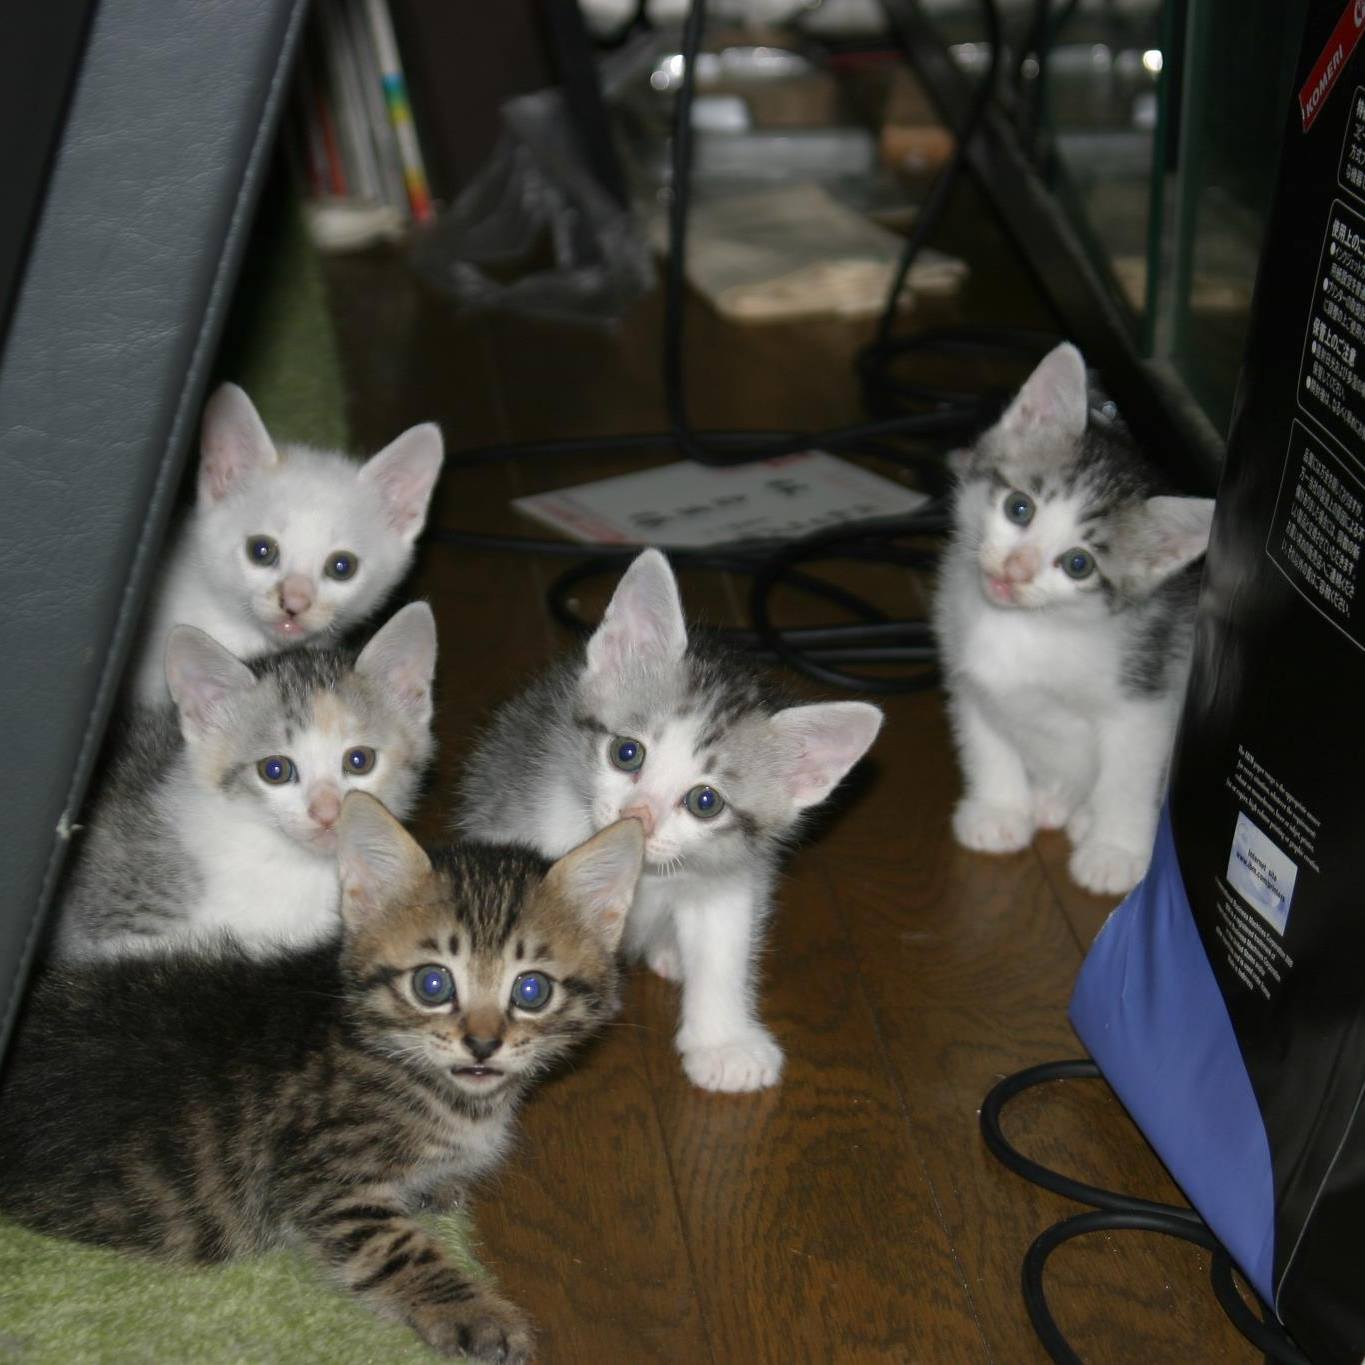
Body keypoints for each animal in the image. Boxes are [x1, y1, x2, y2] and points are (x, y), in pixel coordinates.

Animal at [1, 792, 644, 1362]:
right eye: (432, 984)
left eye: (531, 991)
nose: (483, 1045)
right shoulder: (321, 1179)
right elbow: (400, 1246)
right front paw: (477, 1313)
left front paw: (439, 1187)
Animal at [454, 549, 883, 1093]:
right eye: (626, 752)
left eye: (705, 801)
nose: (637, 816)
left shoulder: (732, 874)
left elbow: (725, 946)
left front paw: (725, 1043)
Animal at [932, 341, 1215, 896]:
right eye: (1019, 508)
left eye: (1078, 564)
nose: (1015, 570)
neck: (1031, 626)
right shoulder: (968, 680)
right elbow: (984, 740)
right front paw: (998, 809)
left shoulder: (1147, 700)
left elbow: (1128, 777)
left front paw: (1115, 851)